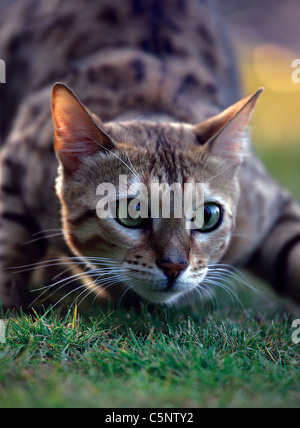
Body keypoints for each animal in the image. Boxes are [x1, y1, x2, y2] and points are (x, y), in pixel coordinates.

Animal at [0, 0, 300, 310]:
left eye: (208, 215)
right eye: (131, 212)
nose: (174, 266)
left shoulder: (266, 202)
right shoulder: (19, 156)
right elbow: (8, 237)